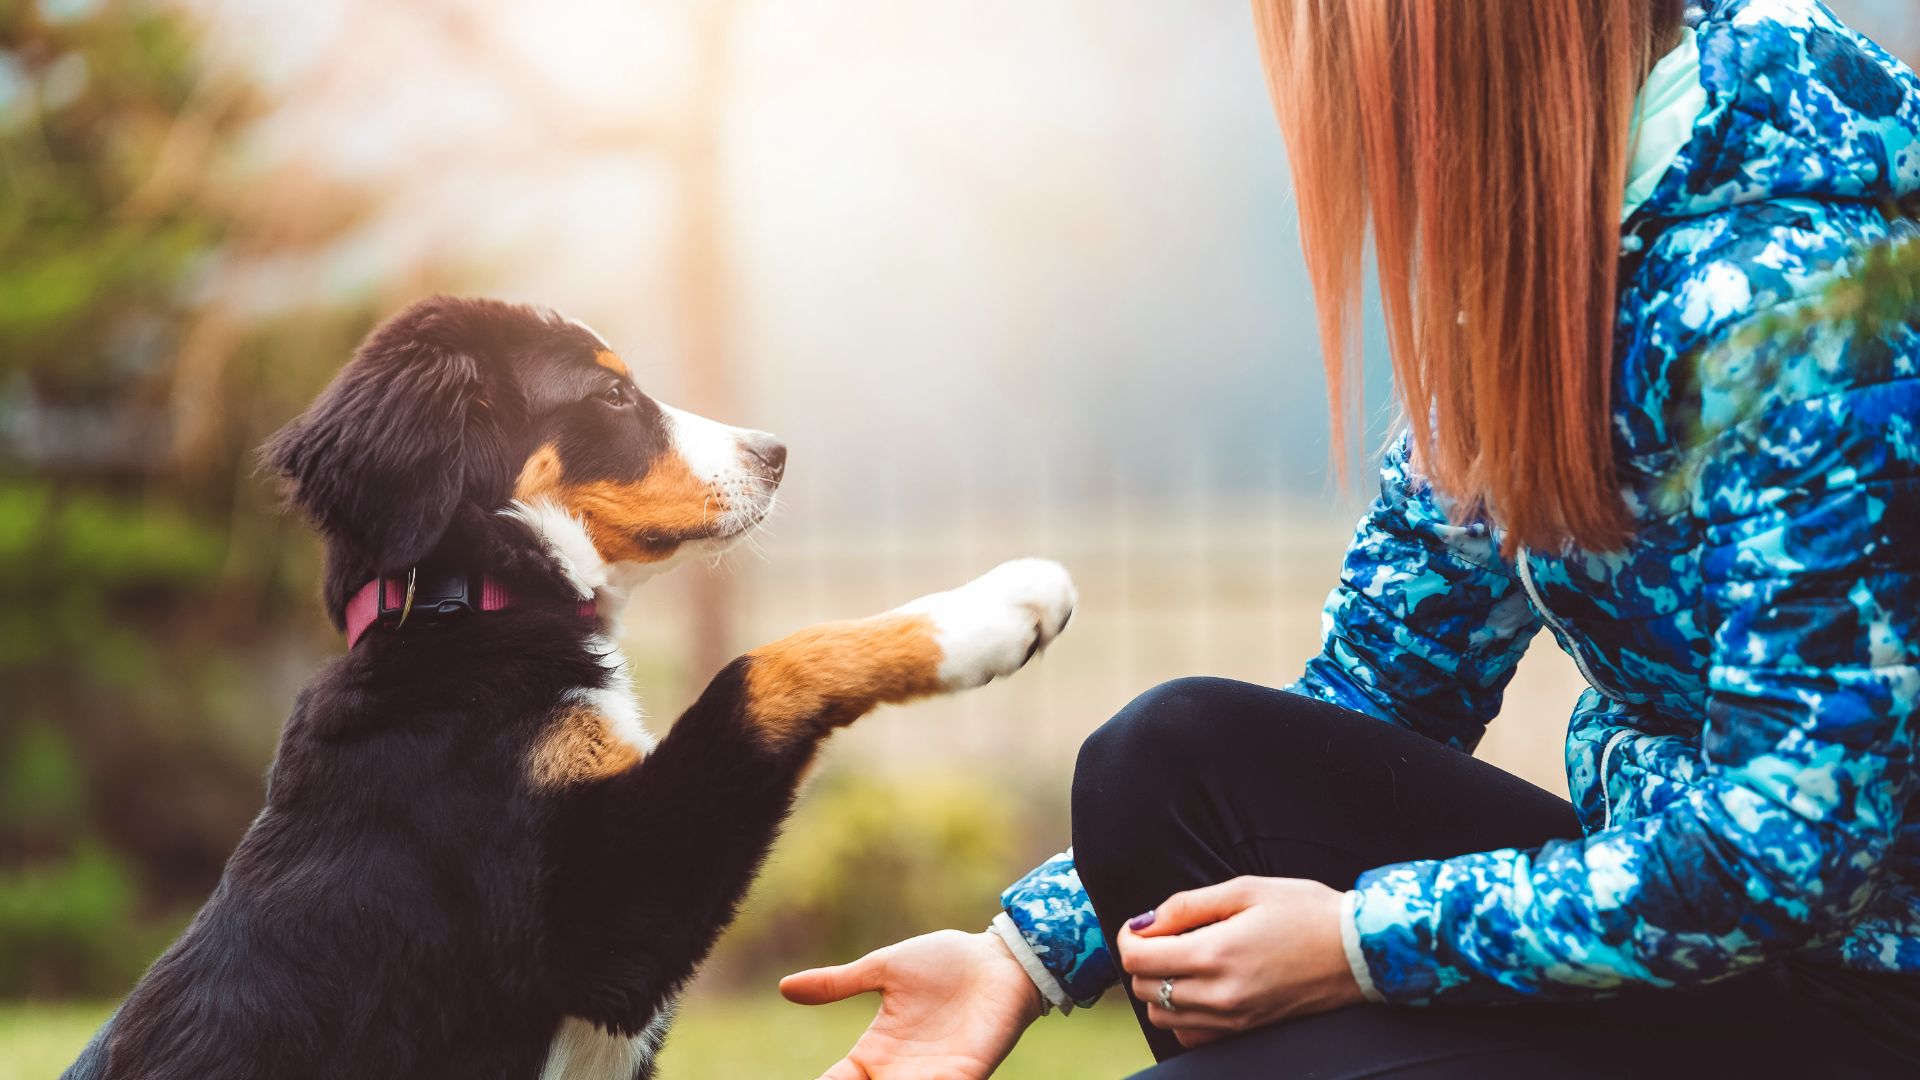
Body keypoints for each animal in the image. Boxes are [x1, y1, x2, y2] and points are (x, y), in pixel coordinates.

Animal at [63, 294, 1082, 1076]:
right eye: (612, 393)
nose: (777, 452)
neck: (468, 610)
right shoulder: (598, 920)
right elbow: (762, 668)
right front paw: (993, 612)